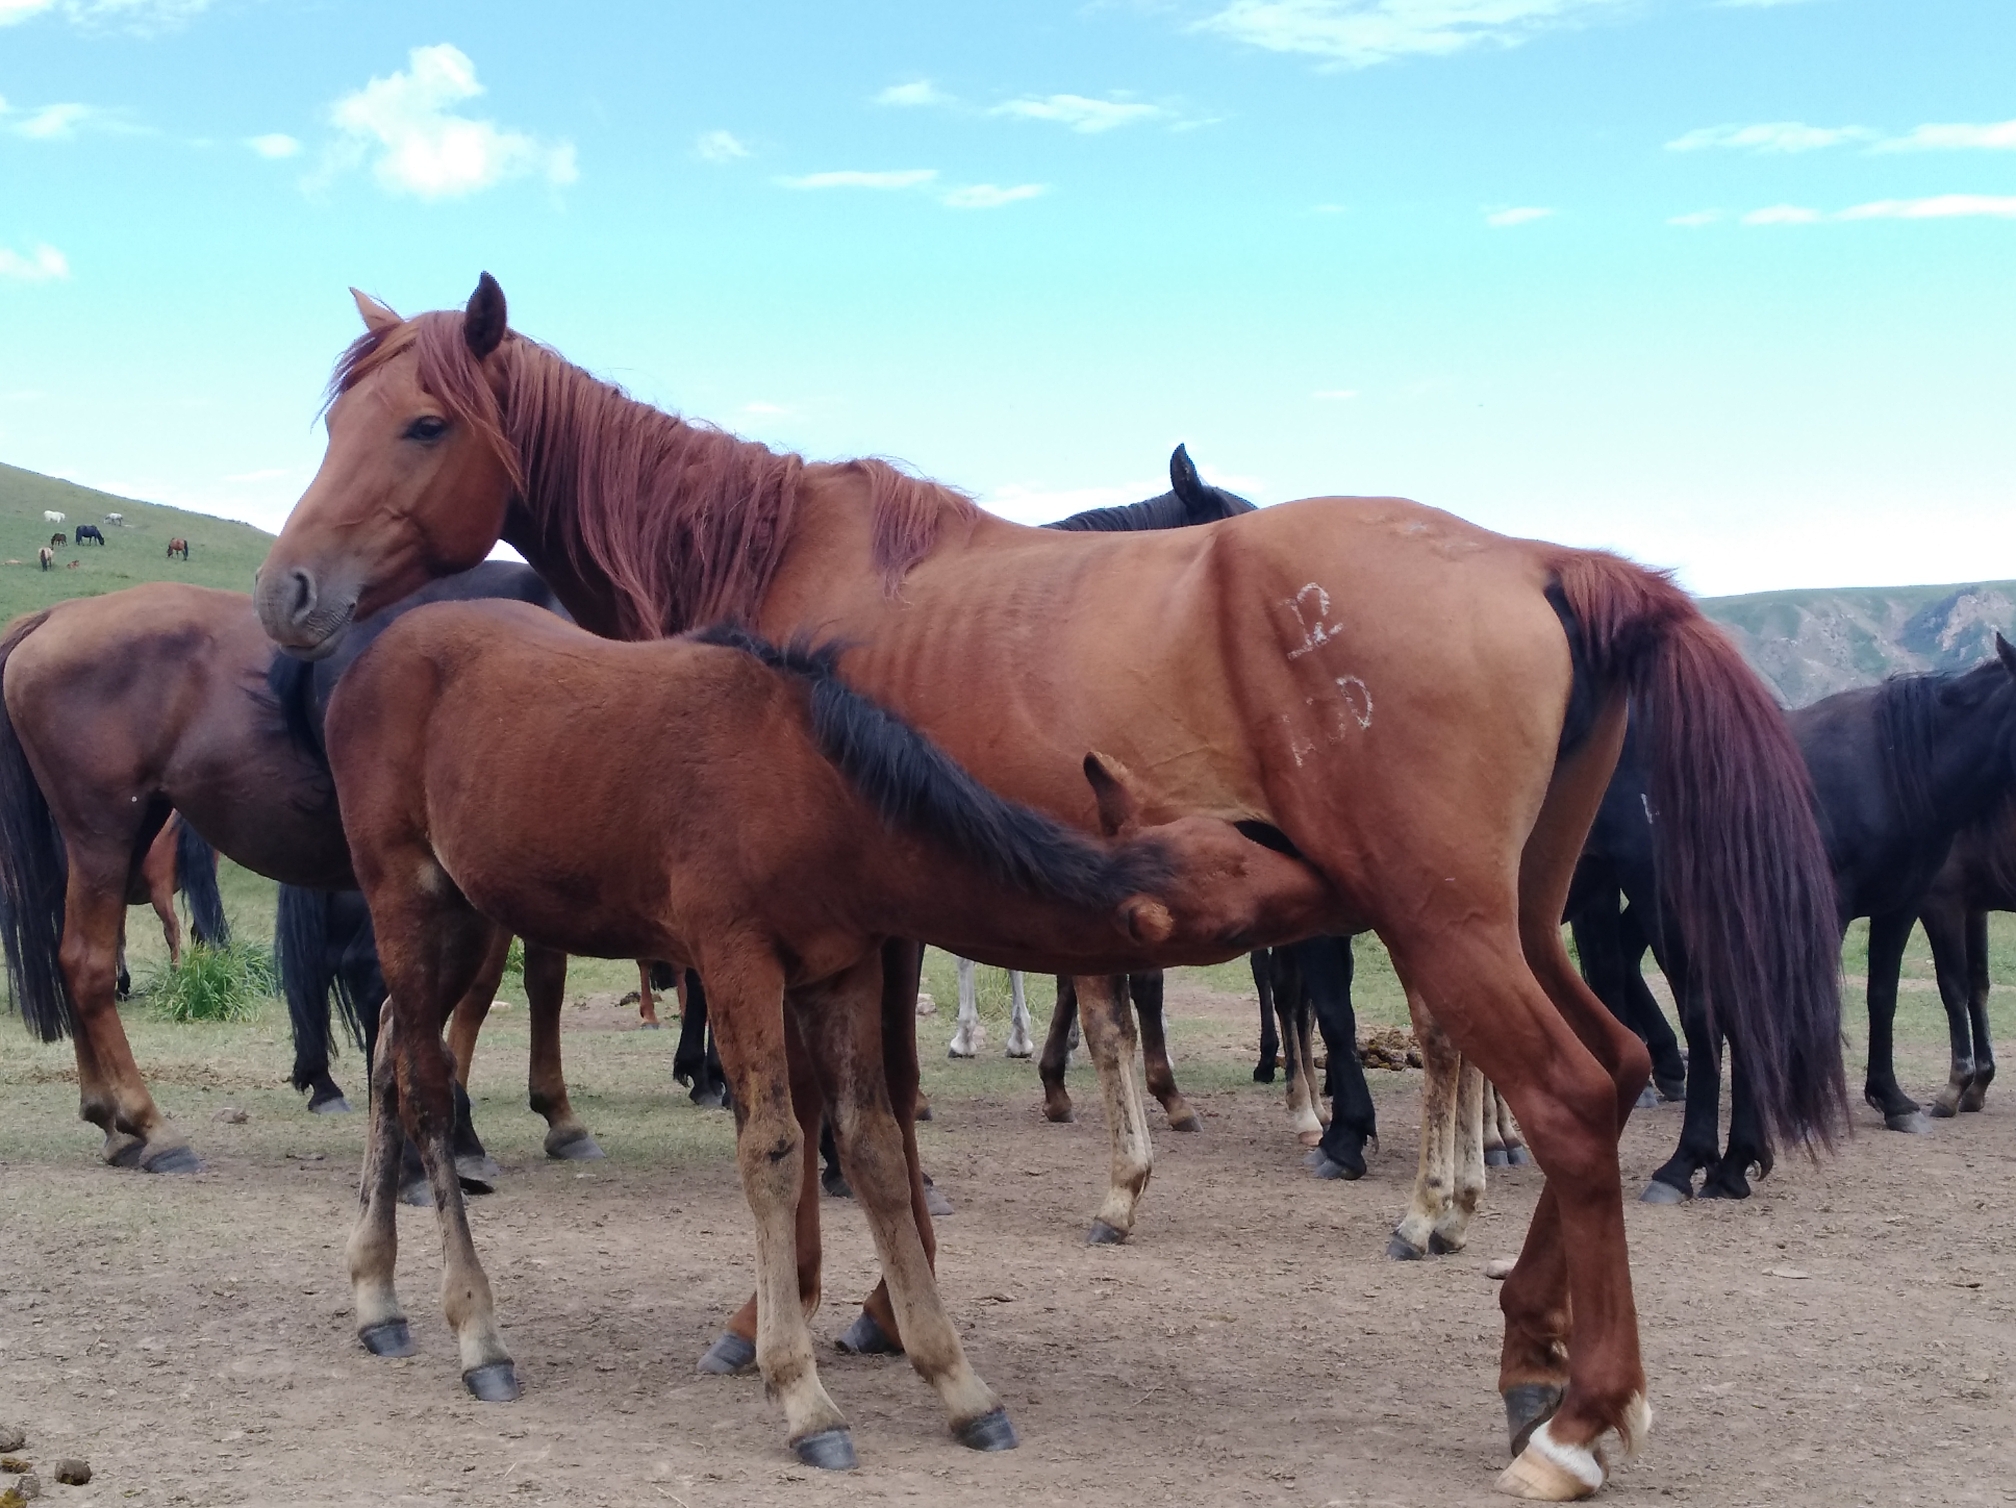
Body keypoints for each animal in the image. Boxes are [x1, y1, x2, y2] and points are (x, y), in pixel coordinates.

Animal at [326, 596, 1338, 1459]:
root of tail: (361, 663)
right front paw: (801, 1394)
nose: (1327, 875)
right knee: (422, 1079)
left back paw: (377, 1296)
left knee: (388, 1046)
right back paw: (478, 1335)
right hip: (410, 896)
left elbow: (877, 1146)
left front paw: (958, 1383)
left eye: (1239, 841)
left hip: (464, 911)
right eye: (1247, 896)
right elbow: (774, 1149)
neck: (820, 793)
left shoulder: (838, 972)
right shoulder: (735, 958)